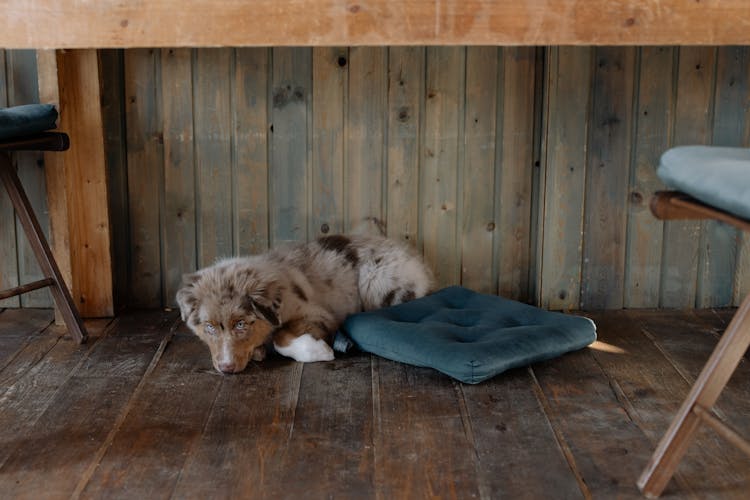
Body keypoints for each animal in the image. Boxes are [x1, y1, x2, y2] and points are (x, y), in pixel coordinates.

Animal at [178, 233, 434, 372]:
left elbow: (281, 338)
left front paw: (319, 351)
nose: (226, 369)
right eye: (209, 327)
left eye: (241, 324)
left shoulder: (316, 313)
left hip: (377, 283)